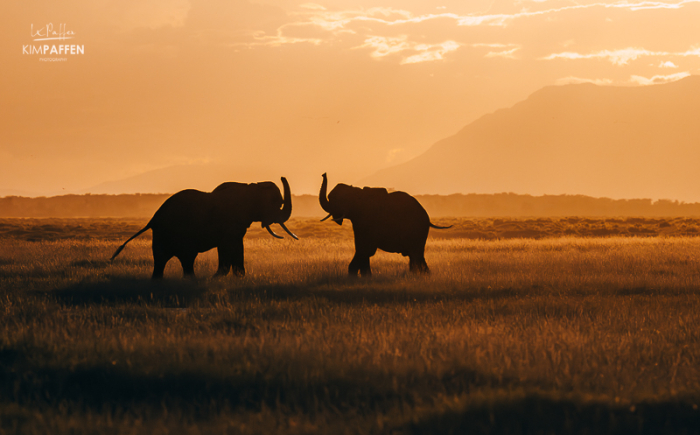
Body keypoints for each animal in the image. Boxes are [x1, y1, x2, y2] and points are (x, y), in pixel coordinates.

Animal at [111, 177, 298, 279]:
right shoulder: (230, 223)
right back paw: (192, 280)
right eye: (279, 203)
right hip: (176, 233)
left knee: (161, 259)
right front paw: (224, 277)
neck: (251, 186)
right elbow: (231, 246)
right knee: (186, 257)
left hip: (161, 235)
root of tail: (153, 219)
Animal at [319, 173, 450, 276]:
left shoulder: (368, 220)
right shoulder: (359, 221)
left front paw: (357, 276)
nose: (323, 174)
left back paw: (420, 275)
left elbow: (366, 248)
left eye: (334, 199)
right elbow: (363, 248)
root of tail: (427, 217)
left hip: (417, 230)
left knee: (416, 253)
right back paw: (422, 274)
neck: (356, 192)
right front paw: (364, 277)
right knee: (416, 254)